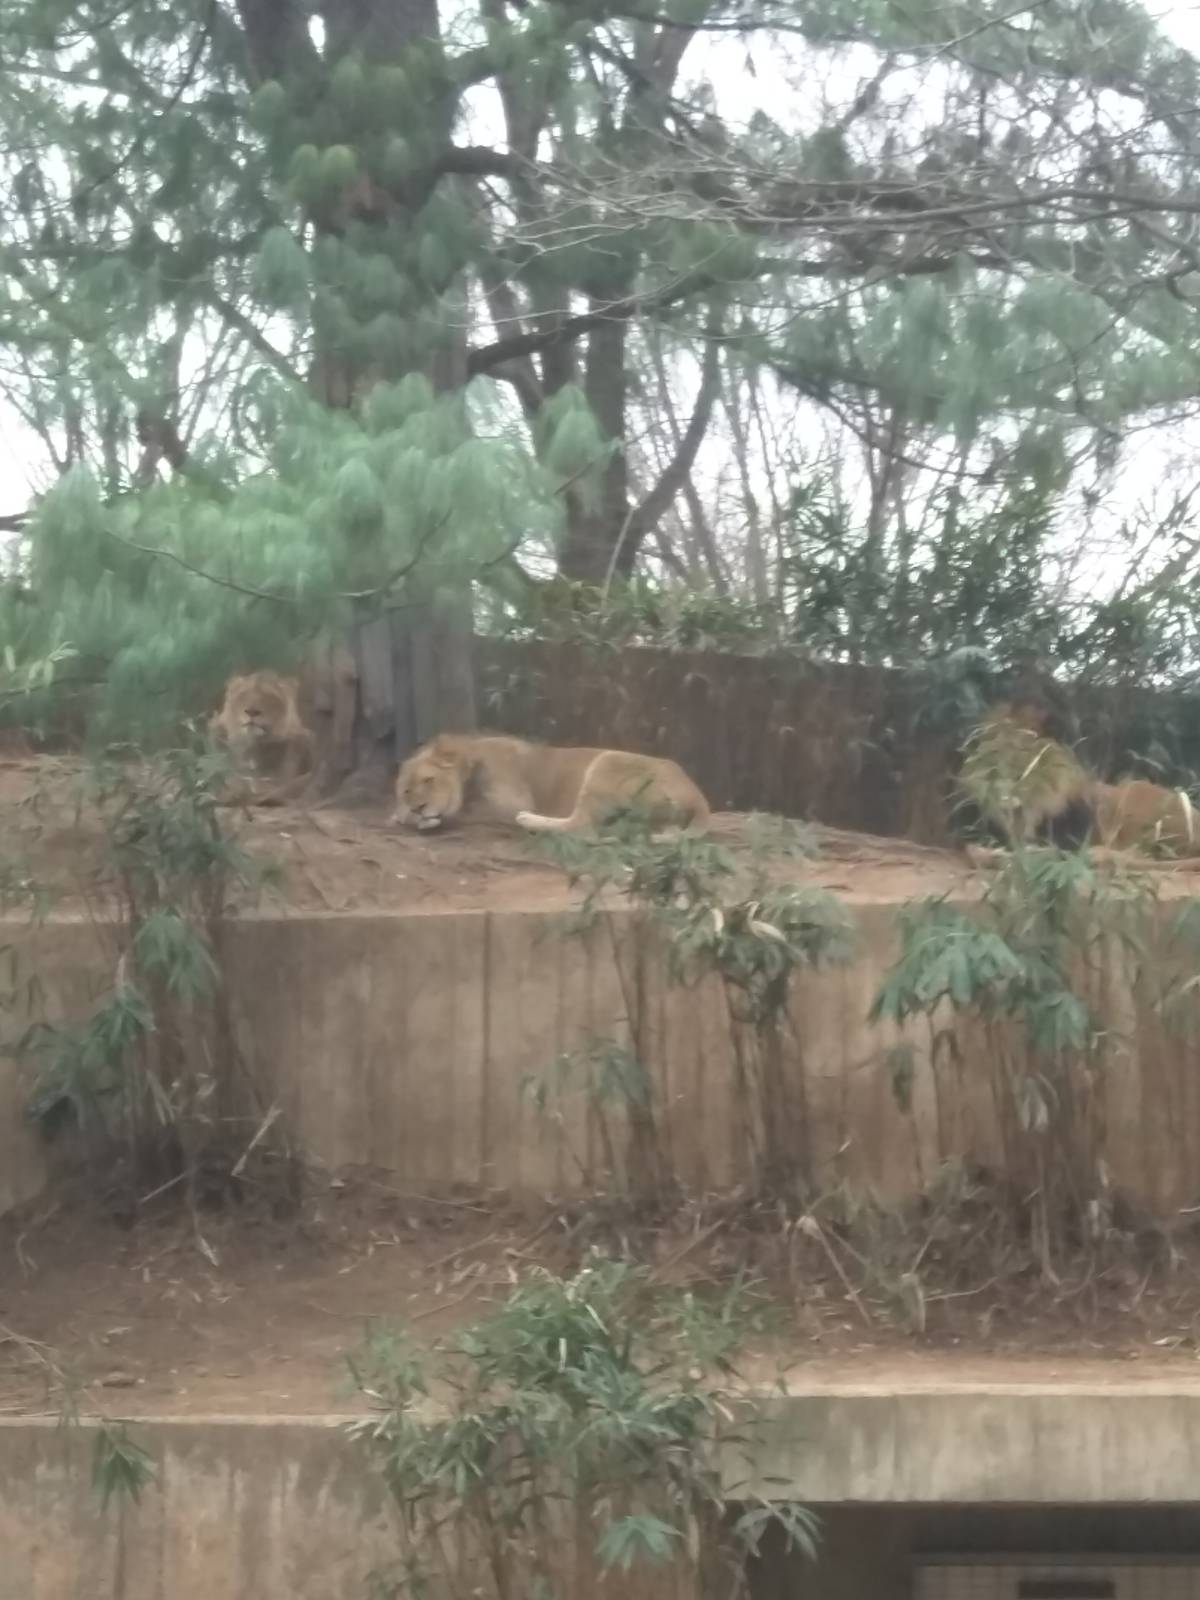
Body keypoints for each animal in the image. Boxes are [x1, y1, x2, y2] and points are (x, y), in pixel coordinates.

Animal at [392, 733, 711, 836]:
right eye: (406, 791)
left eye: (429, 780)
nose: (419, 808)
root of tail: (699, 800)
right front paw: (403, 816)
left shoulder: (510, 802)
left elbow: (465, 812)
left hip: (607, 761)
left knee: (581, 826)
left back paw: (529, 821)